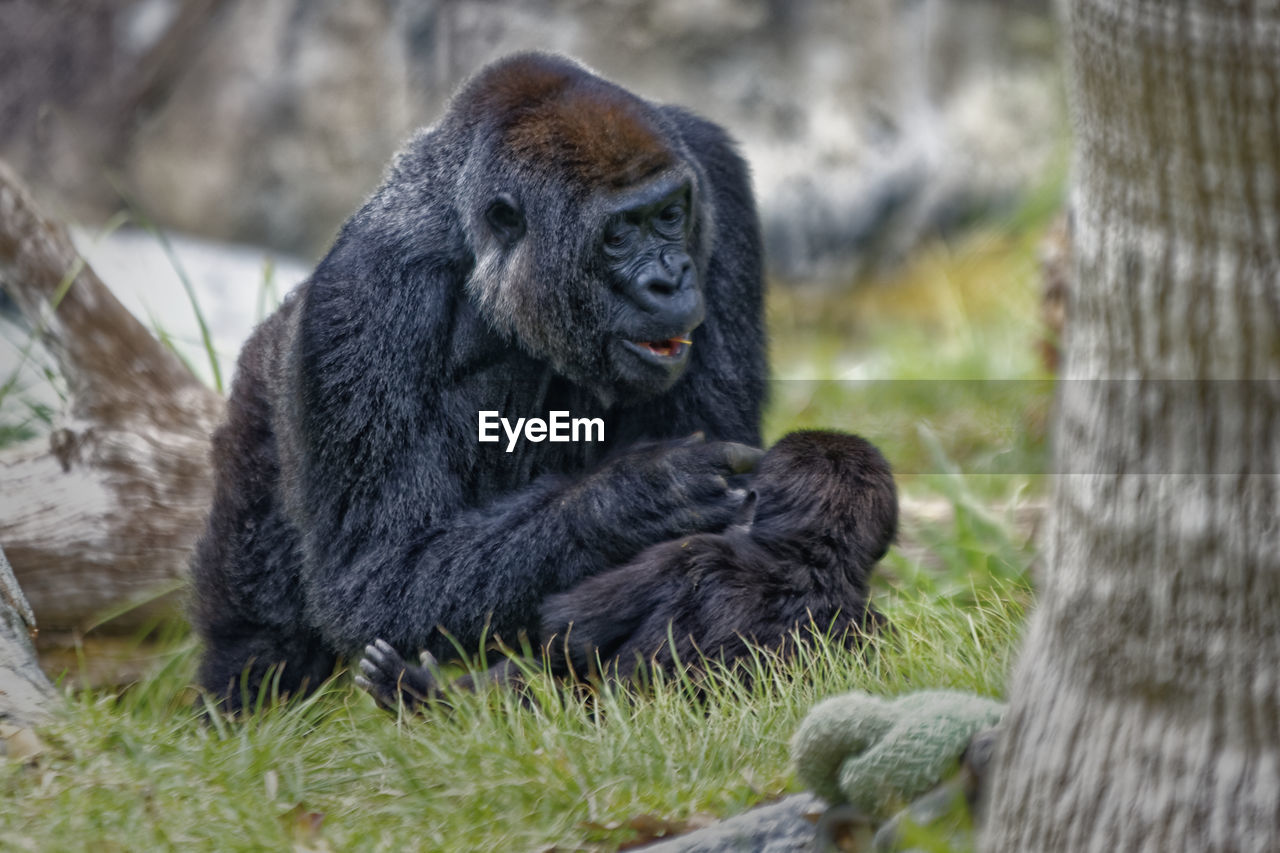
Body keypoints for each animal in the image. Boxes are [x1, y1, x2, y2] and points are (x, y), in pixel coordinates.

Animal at [192, 49, 768, 706]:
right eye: (618, 235)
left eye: (671, 215)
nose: (670, 280)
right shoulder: (361, 297)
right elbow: (375, 577)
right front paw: (638, 497)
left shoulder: (714, 171)